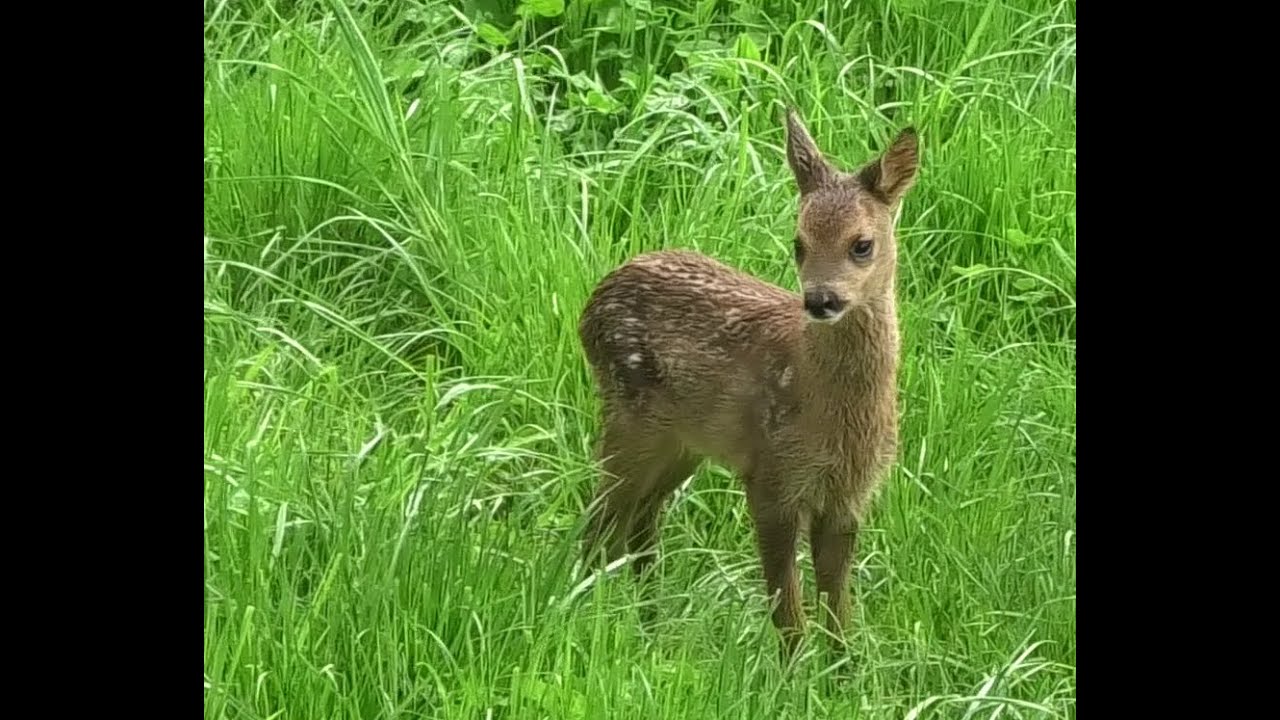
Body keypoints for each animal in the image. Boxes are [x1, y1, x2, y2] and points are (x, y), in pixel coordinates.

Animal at [576, 108, 919, 659]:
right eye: (799, 244)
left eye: (862, 244)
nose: (820, 300)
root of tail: (592, 302)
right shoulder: (772, 475)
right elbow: (788, 608)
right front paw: (792, 672)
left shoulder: (850, 493)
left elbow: (838, 610)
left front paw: (845, 671)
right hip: (627, 413)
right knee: (605, 517)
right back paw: (587, 610)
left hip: (681, 442)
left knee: (641, 517)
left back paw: (650, 620)